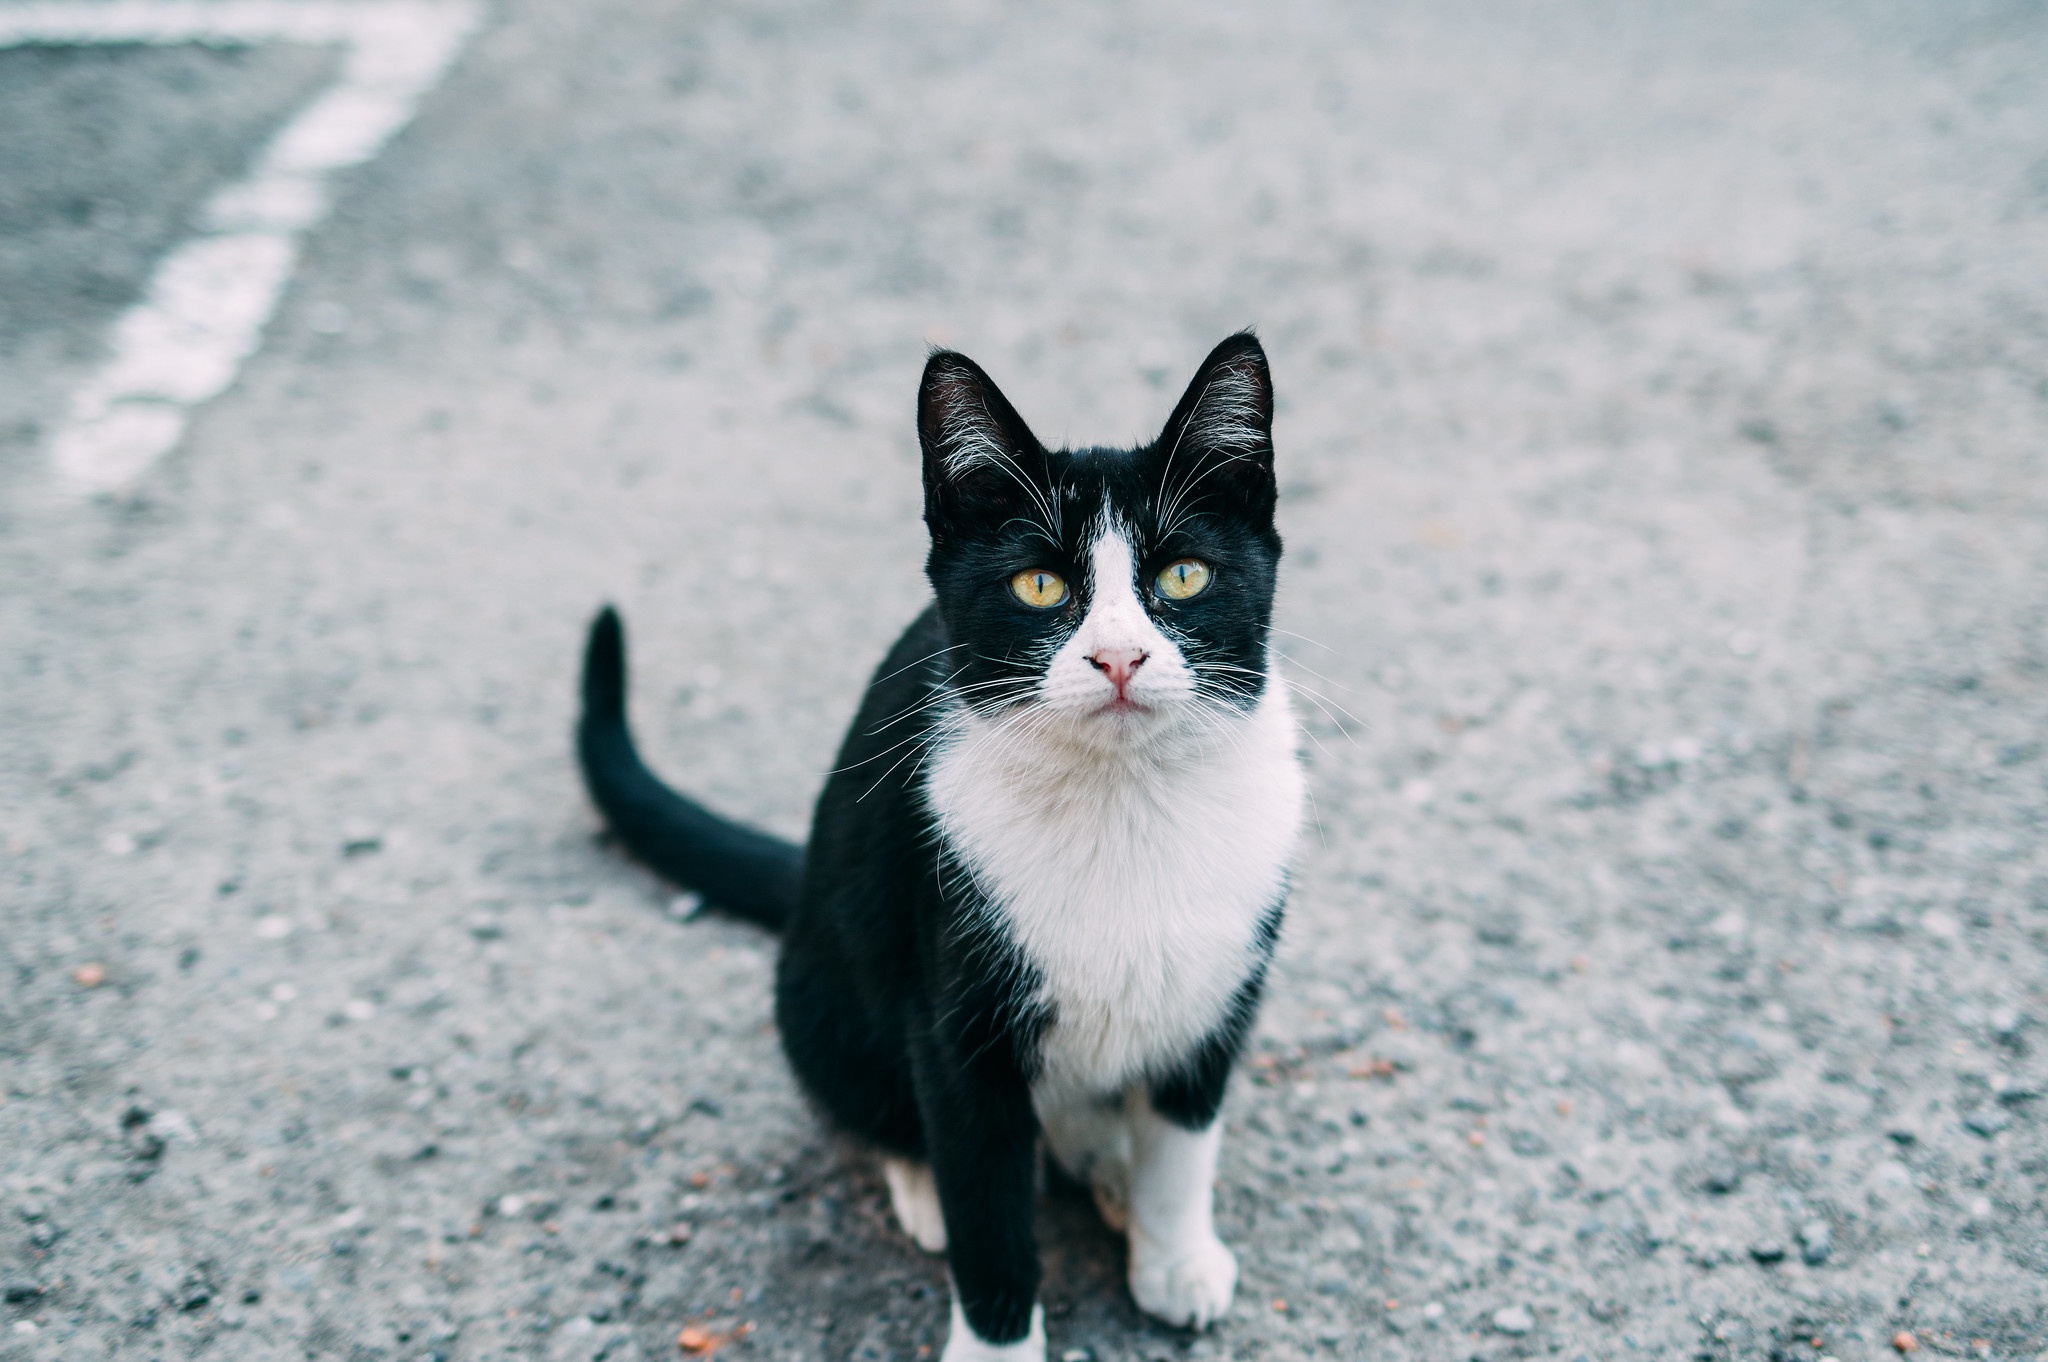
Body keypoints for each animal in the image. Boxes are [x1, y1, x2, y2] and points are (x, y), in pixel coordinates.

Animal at [573, 331, 1310, 1359]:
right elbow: (987, 1206)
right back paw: (927, 1183)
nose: (1119, 657)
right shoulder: (959, 1024)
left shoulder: (1219, 995)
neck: (1123, 801)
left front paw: (1174, 1258)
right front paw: (996, 1337)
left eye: (1183, 577)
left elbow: (1184, 1139)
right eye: (1040, 585)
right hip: (824, 988)